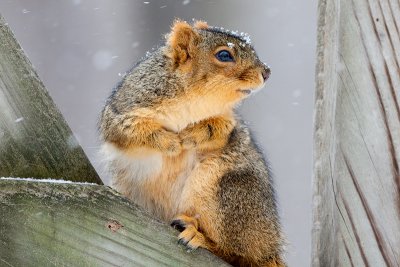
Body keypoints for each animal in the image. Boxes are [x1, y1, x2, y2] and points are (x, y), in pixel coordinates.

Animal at [99, 19, 284, 266]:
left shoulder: (228, 122)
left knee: (236, 253)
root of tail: (269, 247)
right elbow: (131, 130)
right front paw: (170, 141)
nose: (267, 72)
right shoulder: (122, 111)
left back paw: (199, 237)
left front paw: (189, 135)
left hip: (227, 191)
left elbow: (219, 130)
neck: (195, 98)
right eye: (224, 55)